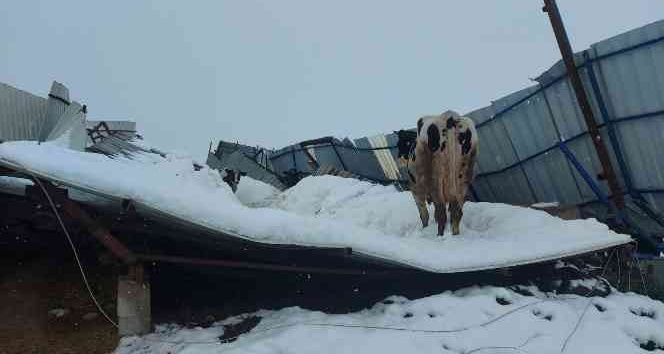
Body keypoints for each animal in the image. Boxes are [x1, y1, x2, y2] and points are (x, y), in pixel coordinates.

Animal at [400, 110, 478, 238]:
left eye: (400, 143)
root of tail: (451, 116)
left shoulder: (416, 191)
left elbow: (424, 215)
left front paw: (425, 228)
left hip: (435, 179)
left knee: (441, 214)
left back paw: (439, 236)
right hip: (463, 178)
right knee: (456, 213)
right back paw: (455, 235)